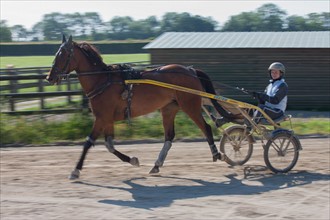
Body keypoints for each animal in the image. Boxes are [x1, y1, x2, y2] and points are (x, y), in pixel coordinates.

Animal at [46, 34, 233, 179]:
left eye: (62, 54)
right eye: (56, 53)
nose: (50, 77)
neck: (102, 80)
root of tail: (190, 70)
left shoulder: (101, 117)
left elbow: (88, 143)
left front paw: (75, 171)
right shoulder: (107, 119)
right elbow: (109, 145)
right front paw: (133, 160)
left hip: (190, 105)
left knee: (206, 127)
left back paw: (218, 154)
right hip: (169, 108)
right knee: (169, 137)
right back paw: (156, 165)